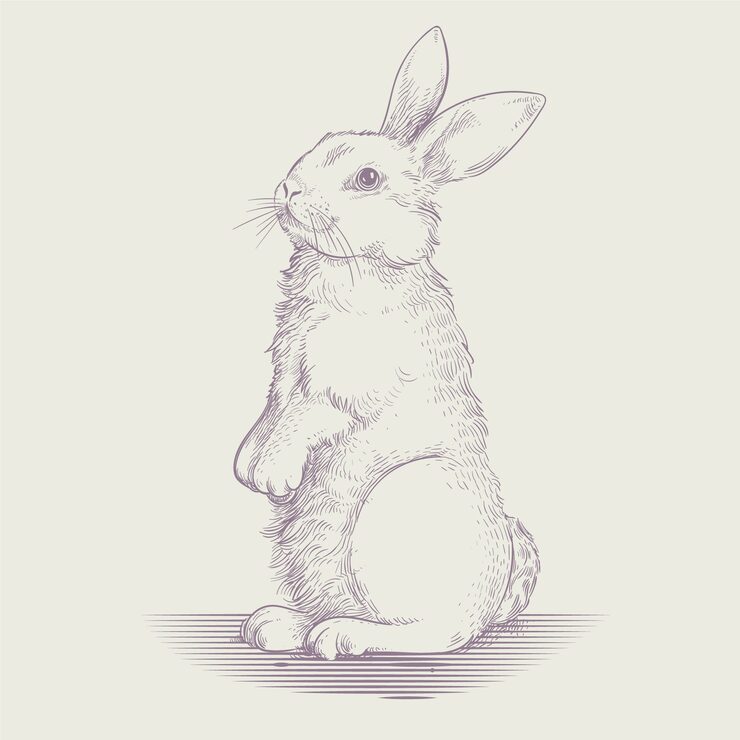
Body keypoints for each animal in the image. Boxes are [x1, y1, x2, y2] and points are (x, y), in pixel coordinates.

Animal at [234, 26, 544, 659]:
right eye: (323, 141)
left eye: (368, 179)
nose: (288, 189)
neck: (357, 263)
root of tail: (492, 597)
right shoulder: (285, 371)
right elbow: (273, 410)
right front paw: (248, 465)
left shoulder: (349, 386)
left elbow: (308, 415)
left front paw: (273, 475)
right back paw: (278, 625)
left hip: (396, 506)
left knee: (434, 634)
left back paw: (340, 638)